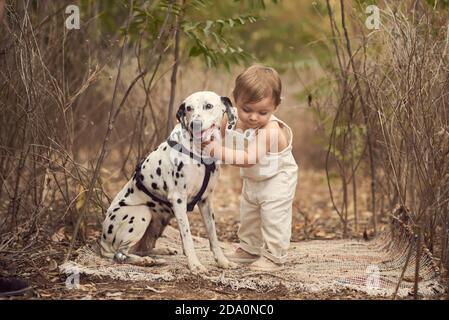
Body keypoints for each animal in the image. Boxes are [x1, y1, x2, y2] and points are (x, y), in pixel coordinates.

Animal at [99, 90, 236, 272]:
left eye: (208, 106)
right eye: (189, 108)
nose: (195, 124)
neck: (199, 152)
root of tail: (102, 244)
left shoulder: (206, 201)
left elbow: (213, 236)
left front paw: (222, 261)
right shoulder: (178, 200)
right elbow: (187, 236)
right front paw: (195, 265)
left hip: (158, 223)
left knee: (141, 248)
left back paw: (159, 253)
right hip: (141, 213)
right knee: (120, 254)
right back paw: (146, 261)